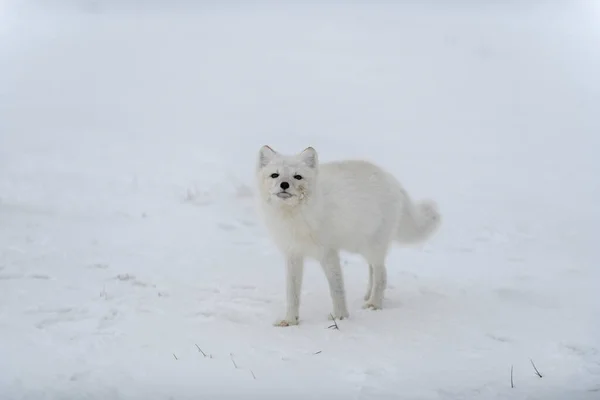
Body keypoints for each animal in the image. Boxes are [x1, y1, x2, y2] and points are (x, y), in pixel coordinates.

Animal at [255, 145, 438, 326]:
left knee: (382, 274)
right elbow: (292, 292)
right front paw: (290, 320)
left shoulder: (329, 253)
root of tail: (391, 179)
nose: (284, 184)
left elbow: (337, 288)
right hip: (361, 246)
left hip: (372, 246)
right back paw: (368, 295)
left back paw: (374, 303)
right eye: (275, 175)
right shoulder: (293, 253)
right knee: (372, 269)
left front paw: (340, 317)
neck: (294, 215)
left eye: (297, 176)